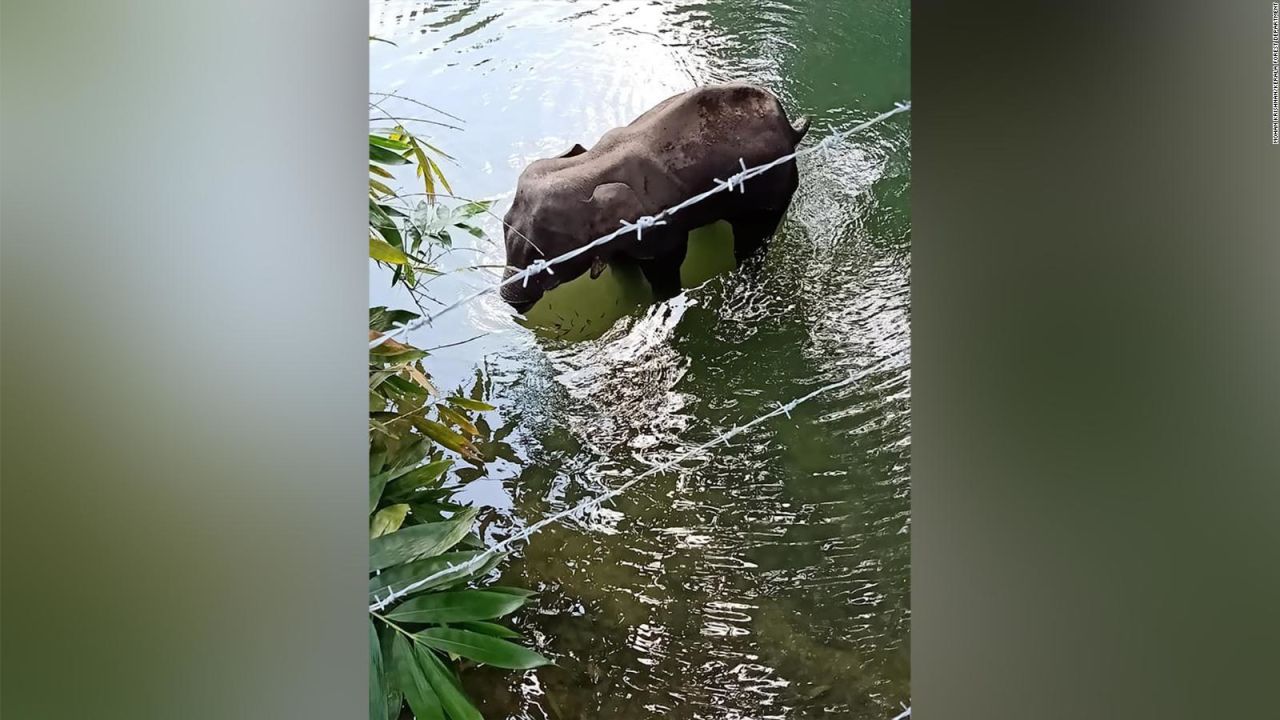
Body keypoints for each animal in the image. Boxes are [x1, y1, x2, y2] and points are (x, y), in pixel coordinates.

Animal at [499, 81, 808, 311]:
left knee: (752, 240)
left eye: (542, 259)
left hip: (773, 187)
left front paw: (659, 302)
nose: (509, 301)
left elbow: (666, 265)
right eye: (504, 224)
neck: (591, 165)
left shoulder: (658, 227)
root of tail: (791, 128)